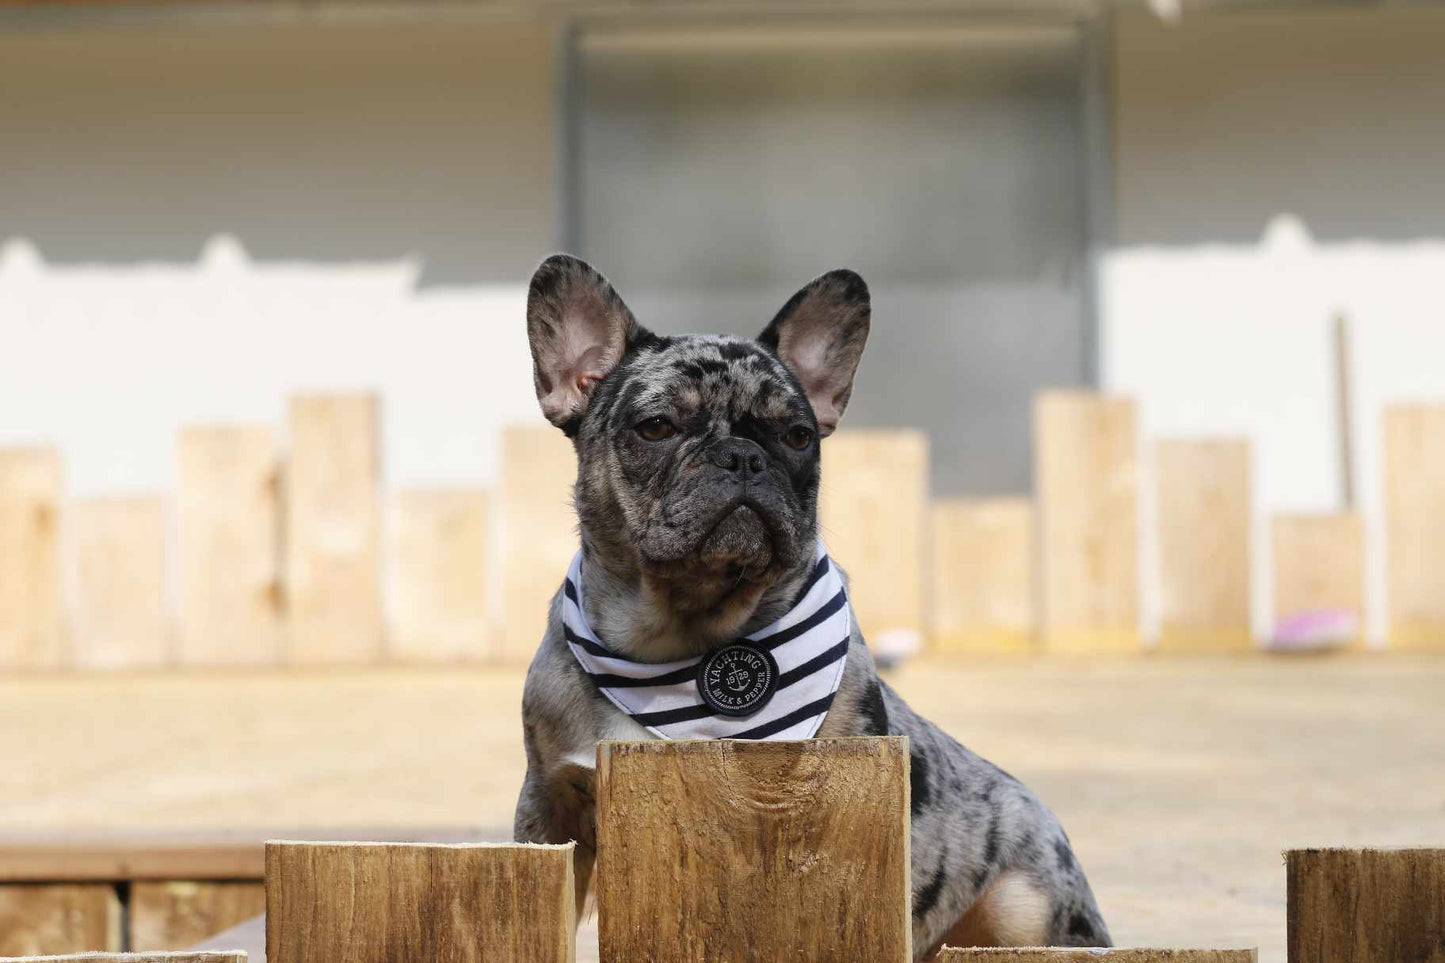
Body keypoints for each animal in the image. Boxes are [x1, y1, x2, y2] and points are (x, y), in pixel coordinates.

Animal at [511, 253, 1103, 954]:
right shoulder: (549, 807)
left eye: (797, 437)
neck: (684, 640)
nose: (743, 455)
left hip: (1025, 905)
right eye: (656, 427)